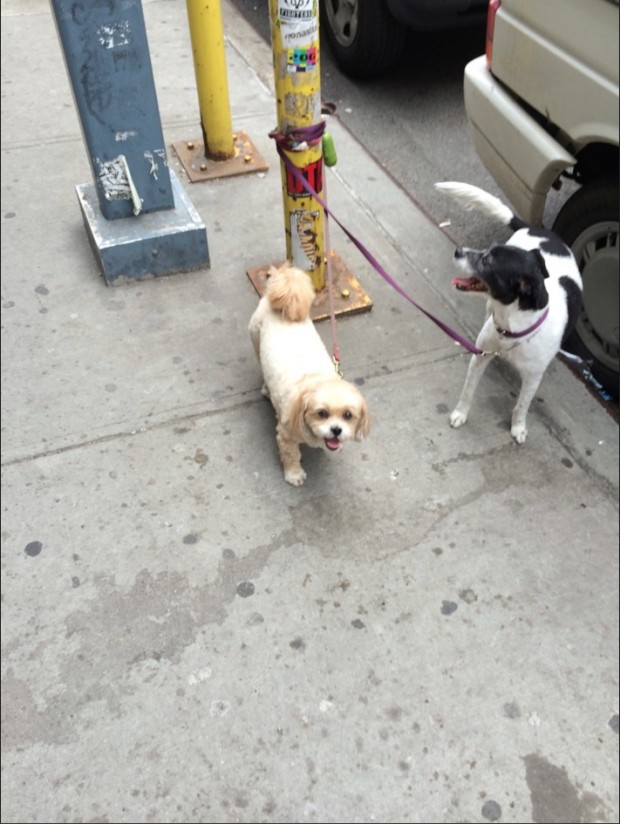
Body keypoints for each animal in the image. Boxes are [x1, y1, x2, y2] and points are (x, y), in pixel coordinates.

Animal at [249, 260, 370, 486]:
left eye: (347, 415)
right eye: (322, 413)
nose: (336, 430)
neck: (313, 382)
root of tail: (283, 278)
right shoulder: (285, 436)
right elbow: (291, 455)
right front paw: (294, 474)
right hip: (255, 339)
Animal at [434, 181, 584, 444]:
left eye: (488, 262)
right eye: (488, 251)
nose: (458, 250)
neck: (511, 330)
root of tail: (533, 227)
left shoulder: (533, 378)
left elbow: (522, 406)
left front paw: (518, 427)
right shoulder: (480, 357)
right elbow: (468, 390)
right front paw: (460, 414)